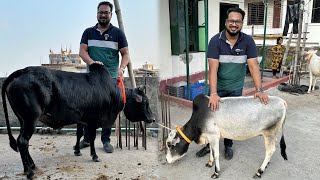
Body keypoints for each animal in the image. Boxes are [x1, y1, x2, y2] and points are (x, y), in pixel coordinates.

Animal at [2, 64, 155, 179]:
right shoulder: (93, 119)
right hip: (30, 119)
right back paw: (29, 171)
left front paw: (77, 150)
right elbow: (92, 138)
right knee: (22, 141)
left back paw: (30, 166)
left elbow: (79, 134)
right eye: (145, 102)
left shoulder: (81, 118)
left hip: (23, 120)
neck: (112, 92)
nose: (152, 119)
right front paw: (94, 156)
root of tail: (22, 71)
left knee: (22, 142)